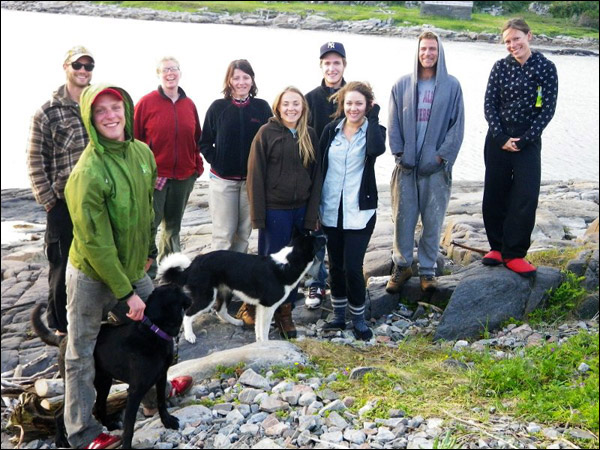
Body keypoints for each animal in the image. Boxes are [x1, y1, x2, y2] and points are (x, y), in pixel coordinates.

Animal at [30, 284, 191, 446]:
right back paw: (61, 440)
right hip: (77, 383)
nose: (190, 293)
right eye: (178, 290)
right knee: (59, 413)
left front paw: (167, 421)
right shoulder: (135, 391)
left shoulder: (161, 376)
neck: (154, 330)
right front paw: (126, 445)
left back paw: (110, 426)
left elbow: (161, 402)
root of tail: (63, 339)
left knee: (99, 407)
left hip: (104, 382)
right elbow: (129, 426)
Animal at [159, 234, 326, 342]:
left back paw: (236, 322)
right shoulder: (268, 306)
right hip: (206, 296)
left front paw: (260, 343)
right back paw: (189, 336)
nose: (325, 236)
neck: (288, 262)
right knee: (188, 314)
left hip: (225, 291)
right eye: (317, 240)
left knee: (220, 311)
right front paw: (266, 345)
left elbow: (259, 328)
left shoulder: (262, 306)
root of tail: (193, 264)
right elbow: (264, 329)